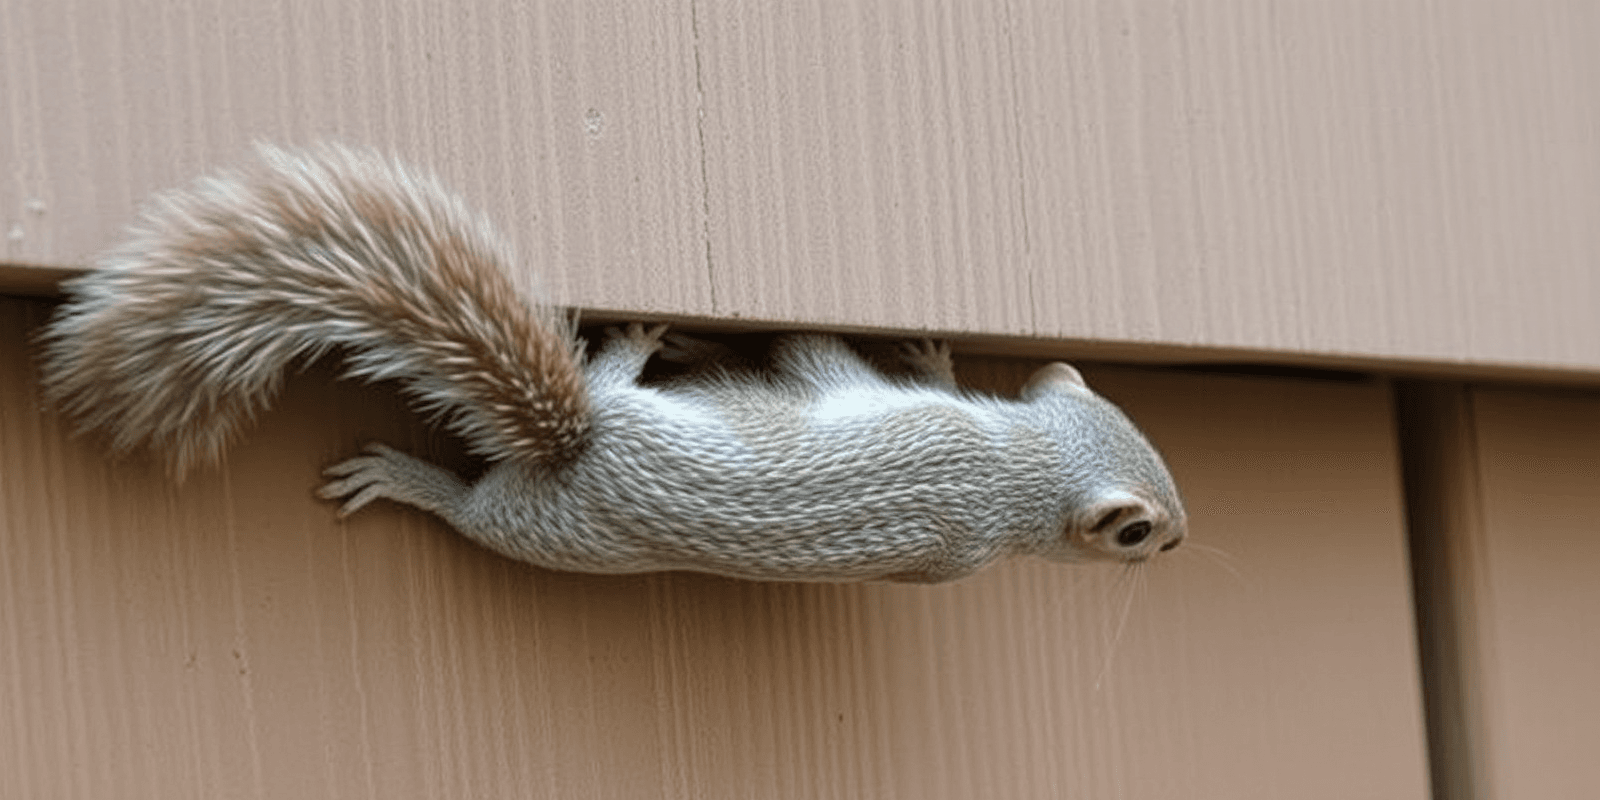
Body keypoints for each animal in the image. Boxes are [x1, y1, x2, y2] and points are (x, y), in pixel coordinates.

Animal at [39, 143, 1186, 583]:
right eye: (1146, 534)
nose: (1178, 547)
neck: (1016, 475)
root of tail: (576, 445)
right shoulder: (919, 426)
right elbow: (819, 355)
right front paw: (933, 348)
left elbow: (812, 357)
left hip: (543, 527)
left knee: (481, 508)